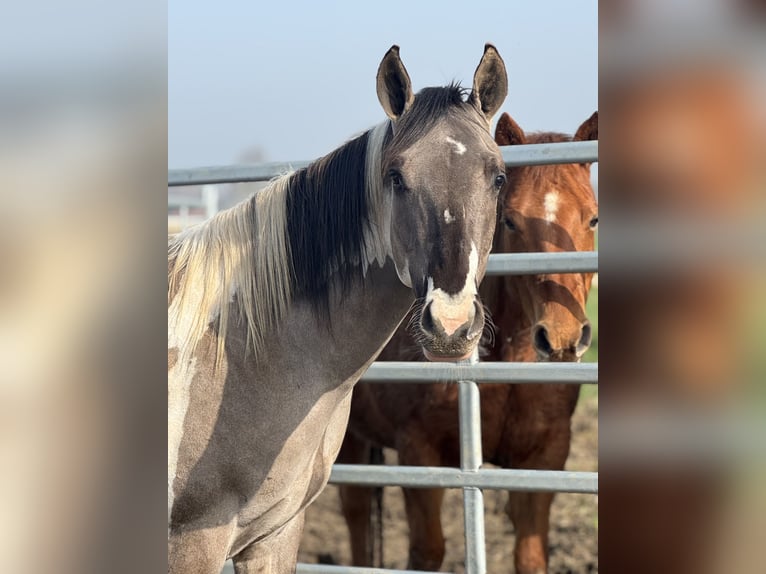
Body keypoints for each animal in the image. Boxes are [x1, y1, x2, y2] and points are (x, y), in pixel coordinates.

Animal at [167, 44, 509, 574]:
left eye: (498, 177)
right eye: (396, 176)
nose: (450, 324)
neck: (237, 356)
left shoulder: (276, 534)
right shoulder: (192, 541)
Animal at [336, 111, 598, 574]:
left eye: (593, 219)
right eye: (510, 220)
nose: (562, 336)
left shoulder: (544, 460)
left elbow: (530, 556)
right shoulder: (419, 455)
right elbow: (427, 552)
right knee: (355, 511)